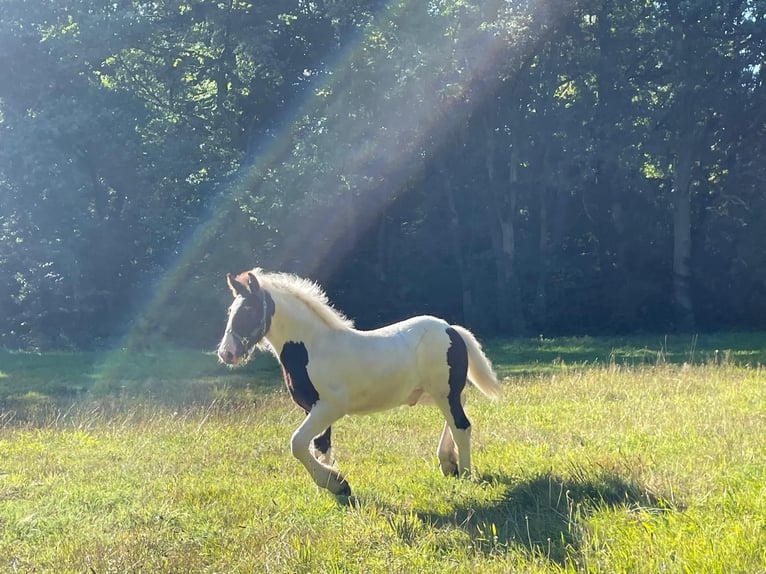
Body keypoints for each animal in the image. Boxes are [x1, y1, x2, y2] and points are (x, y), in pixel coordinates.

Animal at [219, 272, 500, 500]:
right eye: (230, 312)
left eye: (248, 311)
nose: (226, 353)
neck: (313, 348)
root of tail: (450, 329)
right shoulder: (312, 409)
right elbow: (320, 447)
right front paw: (328, 489)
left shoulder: (329, 408)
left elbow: (297, 443)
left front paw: (338, 484)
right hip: (433, 393)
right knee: (456, 415)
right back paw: (448, 463)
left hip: (443, 392)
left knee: (461, 425)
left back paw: (466, 474)